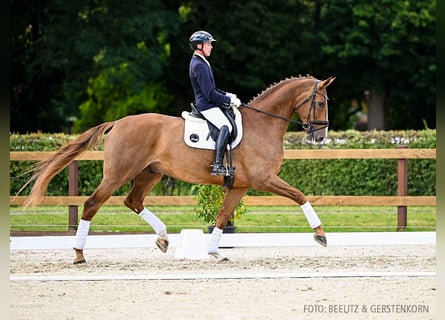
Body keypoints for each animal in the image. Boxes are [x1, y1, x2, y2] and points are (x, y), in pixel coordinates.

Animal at [20, 75, 332, 262]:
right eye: (319, 102)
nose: (320, 137)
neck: (264, 124)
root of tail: (118, 122)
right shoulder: (264, 179)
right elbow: (300, 195)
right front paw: (320, 234)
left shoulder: (241, 185)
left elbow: (222, 216)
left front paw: (214, 251)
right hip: (118, 174)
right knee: (92, 203)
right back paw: (79, 254)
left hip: (150, 173)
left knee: (133, 201)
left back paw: (162, 238)